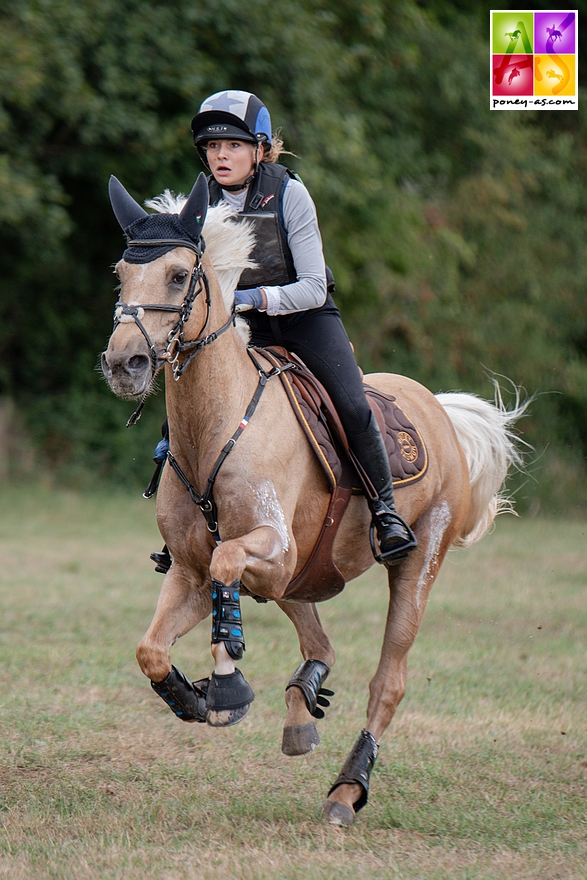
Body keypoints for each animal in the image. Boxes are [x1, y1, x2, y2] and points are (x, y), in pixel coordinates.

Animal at [102, 177, 528, 824]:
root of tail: (438, 410)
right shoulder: (192, 572)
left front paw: (227, 683)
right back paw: (302, 707)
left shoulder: (271, 551)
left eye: (178, 276)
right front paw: (195, 698)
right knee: (317, 639)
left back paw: (347, 790)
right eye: (122, 273)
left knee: (388, 682)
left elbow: (230, 561)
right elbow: (151, 647)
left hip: (414, 560)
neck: (214, 429)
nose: (124, 364)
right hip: (308, 569)